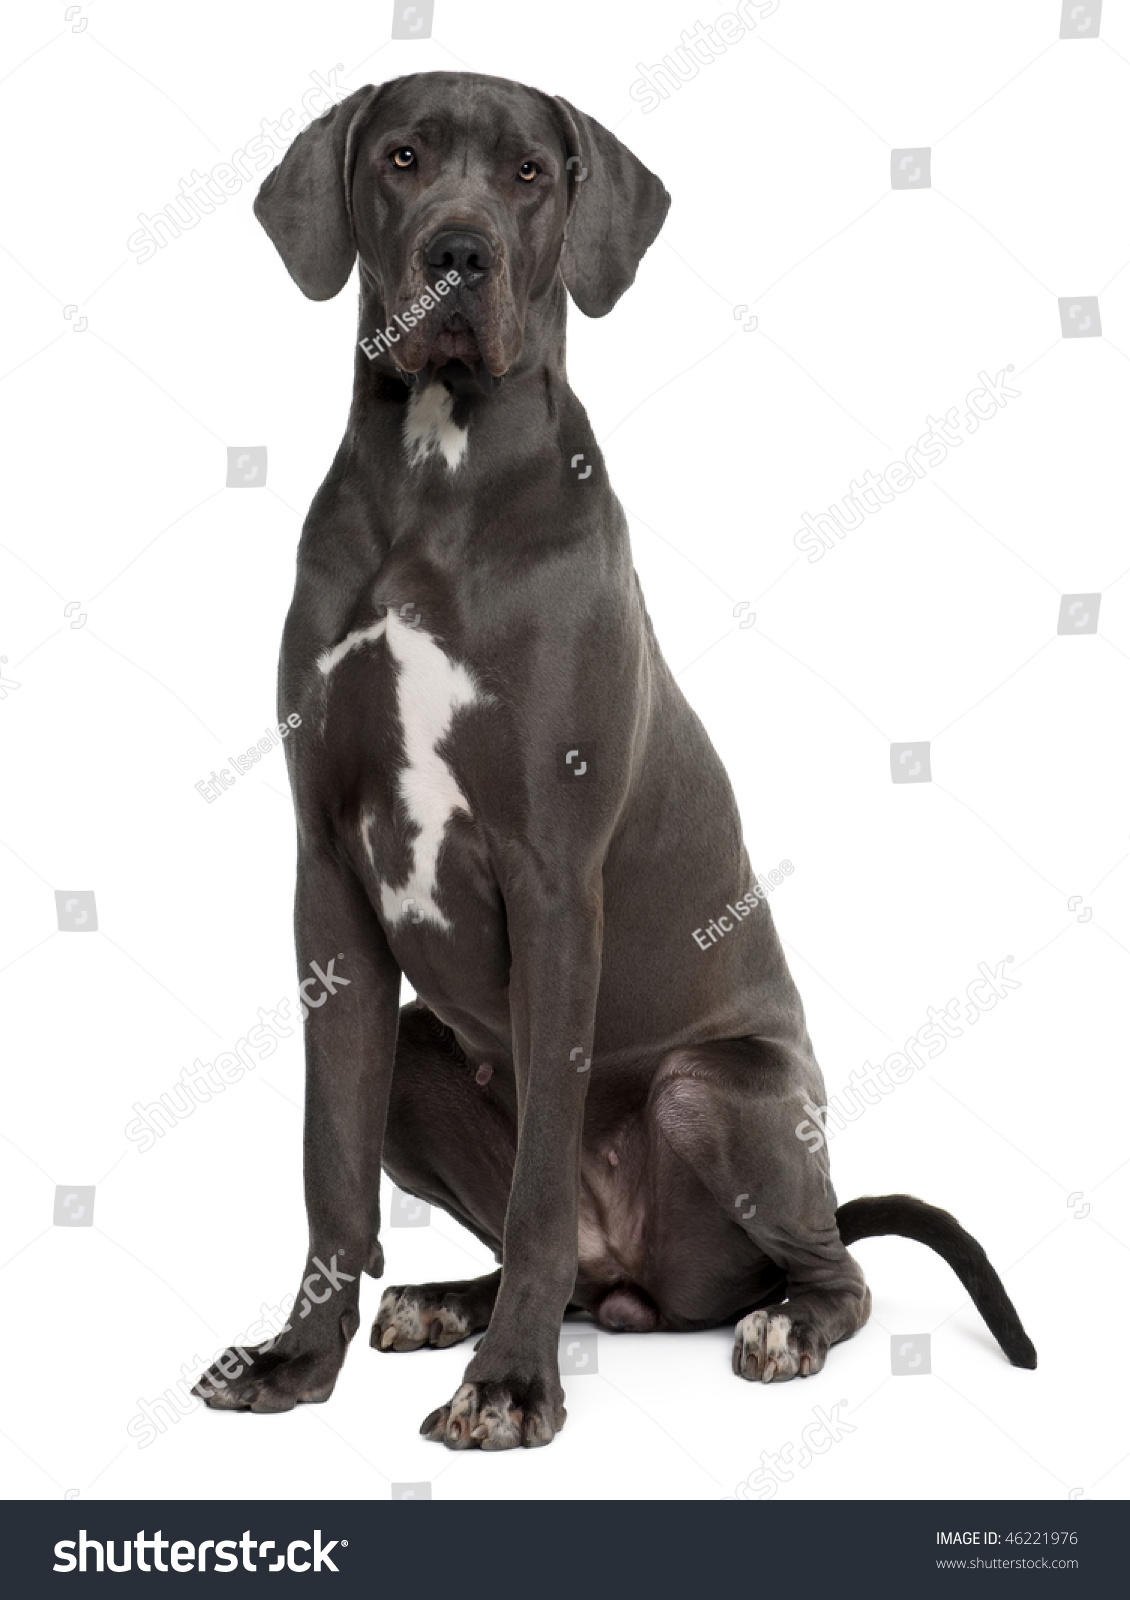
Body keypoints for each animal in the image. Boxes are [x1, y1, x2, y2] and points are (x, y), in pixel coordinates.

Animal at [191, 72, 1030, 1452]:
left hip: (713, 1092)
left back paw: (780, 1323)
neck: (438, 473)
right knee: (561, 1251)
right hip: (424, 1055)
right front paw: (297, 1362)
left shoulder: (550, 875)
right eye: (402, 158)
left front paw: (511, 1389)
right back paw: (447, 1299)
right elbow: (329, 1169)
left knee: (821, 1264)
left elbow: (535, 1188)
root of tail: (648, 1278)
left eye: (530, 173)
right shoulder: (327, 880)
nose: (458, 254)